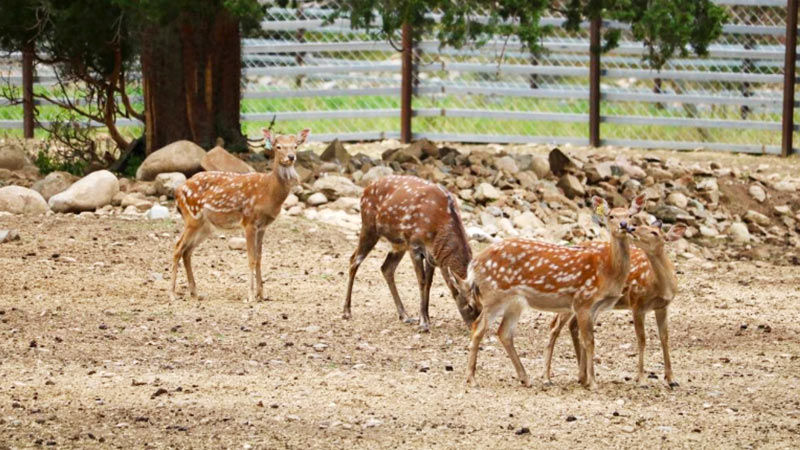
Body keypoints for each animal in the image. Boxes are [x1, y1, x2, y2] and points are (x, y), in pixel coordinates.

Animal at [169, 127, 310, 302]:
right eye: (278, 147)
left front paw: (261, 294)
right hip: (192, 217)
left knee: (187, 251)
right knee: (177, 247)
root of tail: (177, 192)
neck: (268, 192)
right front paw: (250, 296)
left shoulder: (263, 226)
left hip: (205, 227)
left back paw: (195, 292)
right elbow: (251, 258)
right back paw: (172, 294)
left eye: (295, 146)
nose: (291, 157)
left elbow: (259, 258)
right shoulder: (249, 221)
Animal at [342, 174, 478, 332]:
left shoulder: (432, 256)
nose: (476, 327)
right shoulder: (415, 245)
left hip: (399, 243)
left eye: (483, 304)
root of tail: (365, 189)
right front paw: (423, 323)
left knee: (386, 267)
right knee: (354, 260)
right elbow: (422, 281)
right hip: (369, 226)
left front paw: (426, 318)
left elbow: (429, 283)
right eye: (470, 305)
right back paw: (346, 312)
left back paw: (405, 315)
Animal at [450, 195, 644, 388]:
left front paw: (587, 379)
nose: (624, 225)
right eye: (611, 216)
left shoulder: (595, 307)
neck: (607, 271)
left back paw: (525, 378)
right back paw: (472, 378)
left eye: (630, 215)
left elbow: (586, 340)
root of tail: (473, 265)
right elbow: (589, 341)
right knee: (478, 327)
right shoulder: (583, 300)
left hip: (514, 301)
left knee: (504, 332)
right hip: (494, 296)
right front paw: (593, 383)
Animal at [544, 218, 688, 386]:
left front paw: (672, 379)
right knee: (555, 326)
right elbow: (642, 339)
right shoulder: (637, 302)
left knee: (573, 326)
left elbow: (664, 338)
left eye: (654, 232)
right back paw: (547, 377)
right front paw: (641, 380)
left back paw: (582, 375)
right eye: (640, 225)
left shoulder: (663, 306)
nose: (631, 228)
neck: (660, 285)